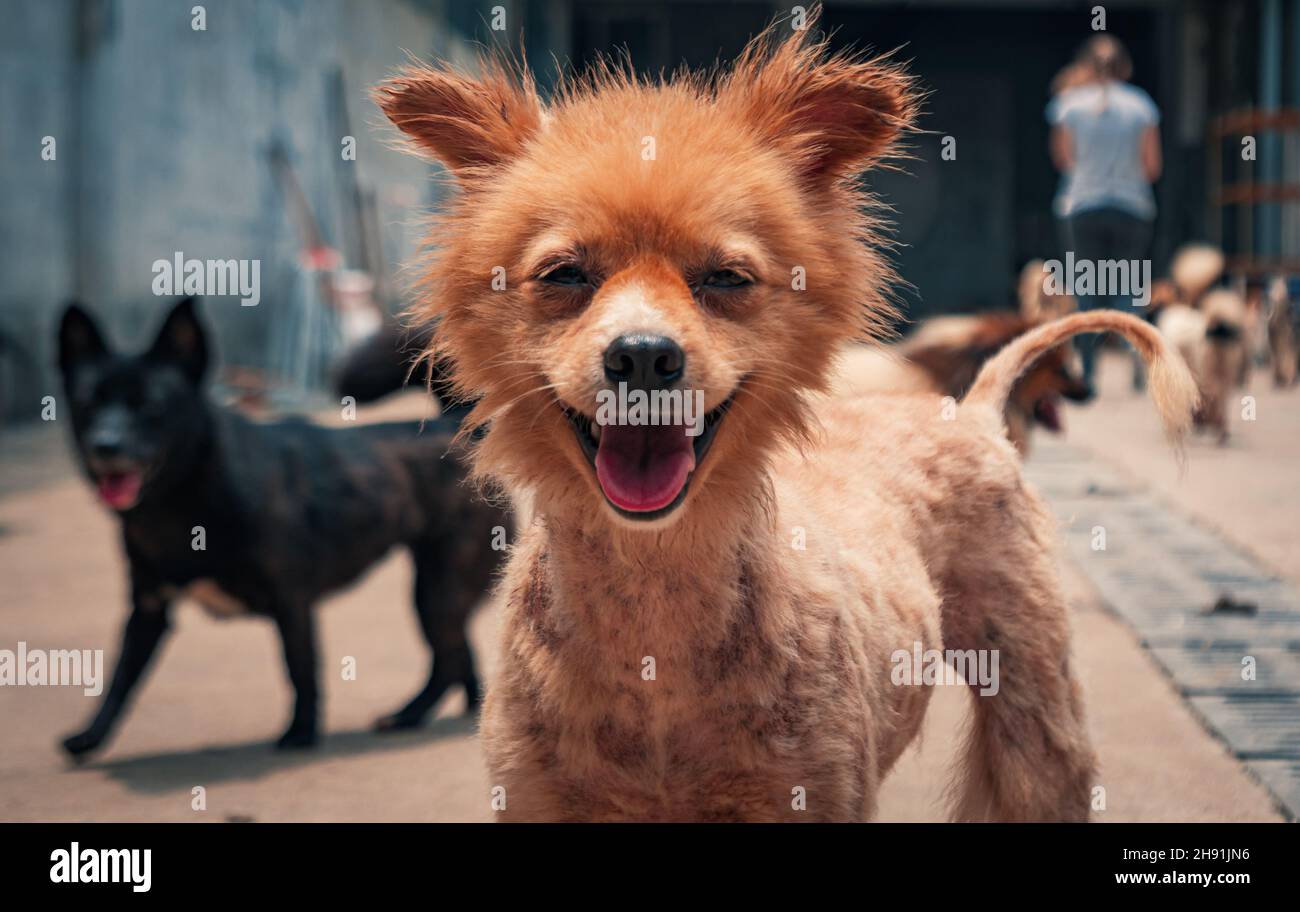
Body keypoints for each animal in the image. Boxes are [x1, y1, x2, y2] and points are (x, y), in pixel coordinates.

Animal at [61, 298, 506, 758]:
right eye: (87, 406)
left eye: (151, 407)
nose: (105, 446)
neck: (183, 500)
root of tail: (451, 424)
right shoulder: (146, 610)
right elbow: (120, 677)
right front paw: (90, 736)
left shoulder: (291, 600)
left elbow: (300, 669)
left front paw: (301, 733)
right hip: (436, 593)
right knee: (456, 655)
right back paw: (447, 713)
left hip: (438, 590)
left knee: (449, 655)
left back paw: (416, 714)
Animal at [374, 10, 1190, 826]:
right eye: (564, 274)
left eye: (727, 278)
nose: (643, 356)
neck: (653, 638)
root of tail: (974, 408)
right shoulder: (541, 801)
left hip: (1032, 702)